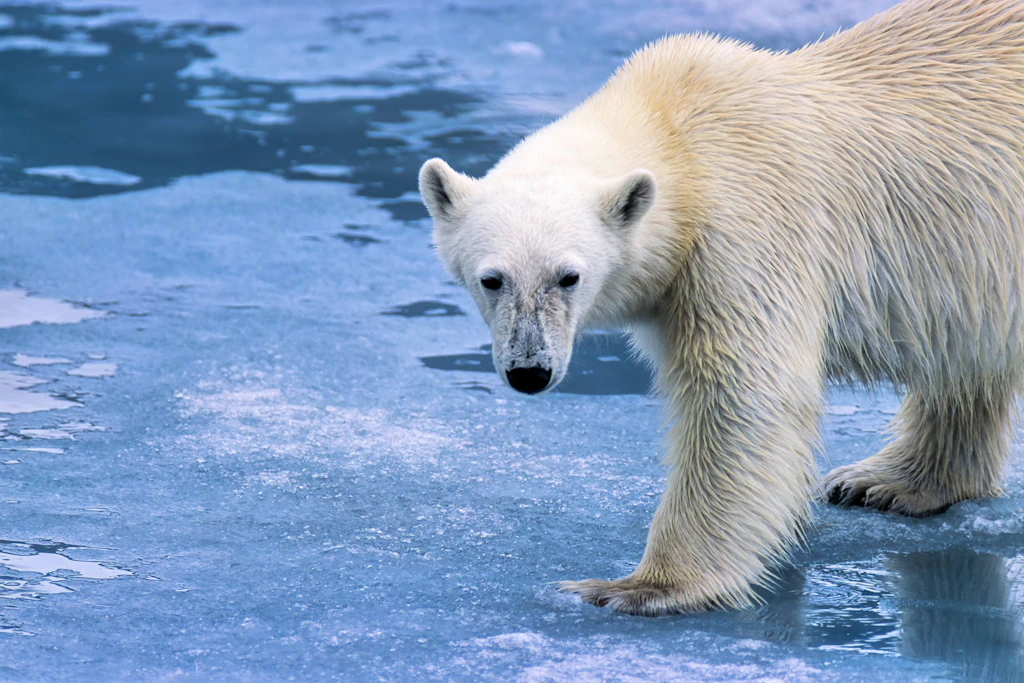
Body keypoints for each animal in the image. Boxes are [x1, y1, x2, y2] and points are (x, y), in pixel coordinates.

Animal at [418, 0, 1024, 616]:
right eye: (491, 280)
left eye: (569, 277)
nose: (529, 372)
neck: (680, 138)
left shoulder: (745, 231)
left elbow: (742, 397)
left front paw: (637, 588)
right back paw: (889, 482)